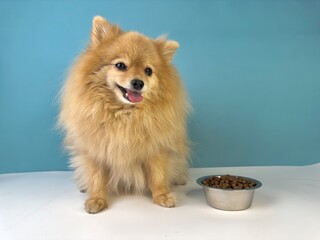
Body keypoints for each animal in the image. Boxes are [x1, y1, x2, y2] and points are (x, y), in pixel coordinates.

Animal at [59, 15, 190, 213]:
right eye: (120, 65)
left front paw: (162, 195)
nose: (138, 82)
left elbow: (158, 174)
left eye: (148, 71)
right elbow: (96, 177)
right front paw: (97, 199)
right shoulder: (96, 148)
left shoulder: (155, 148)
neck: (124, 114)